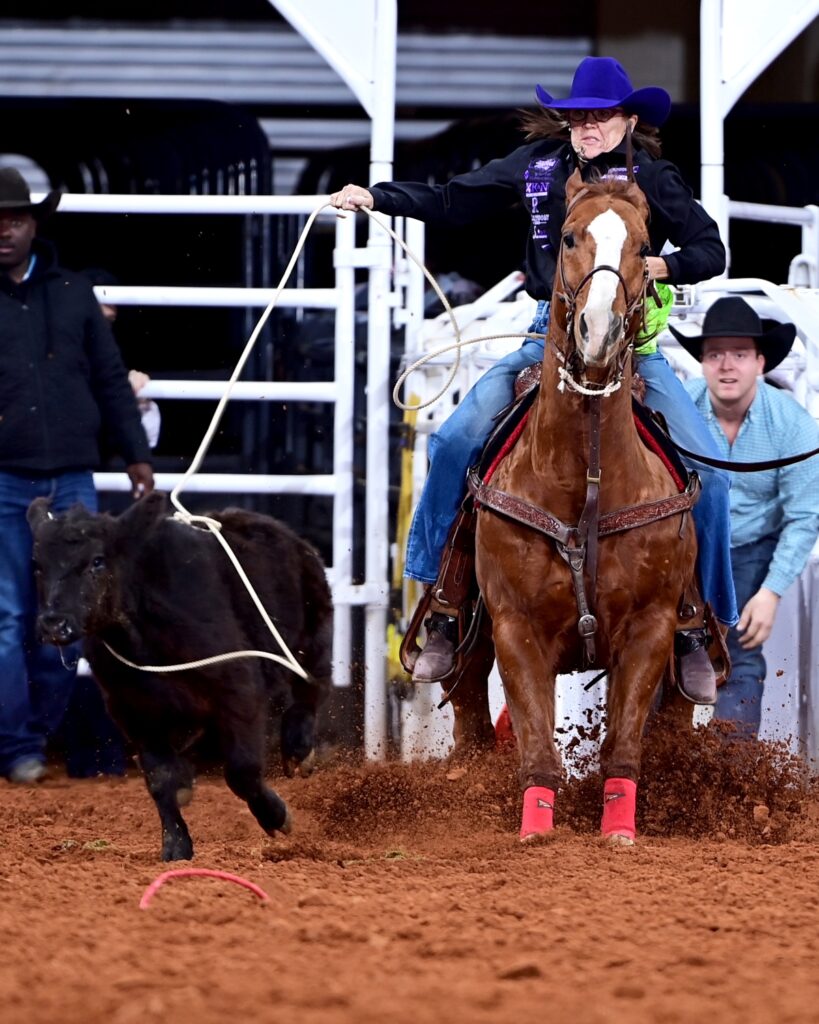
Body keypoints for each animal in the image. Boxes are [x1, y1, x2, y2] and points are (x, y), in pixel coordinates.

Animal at [466, 169, 696, 839]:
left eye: (645, 244)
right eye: (568, 237)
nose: (599, 332)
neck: (582, 486)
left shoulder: (652, 627)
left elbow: (623, 745)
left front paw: (618, 830)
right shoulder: (514, 627)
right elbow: (538, 748)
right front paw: (536, 831)